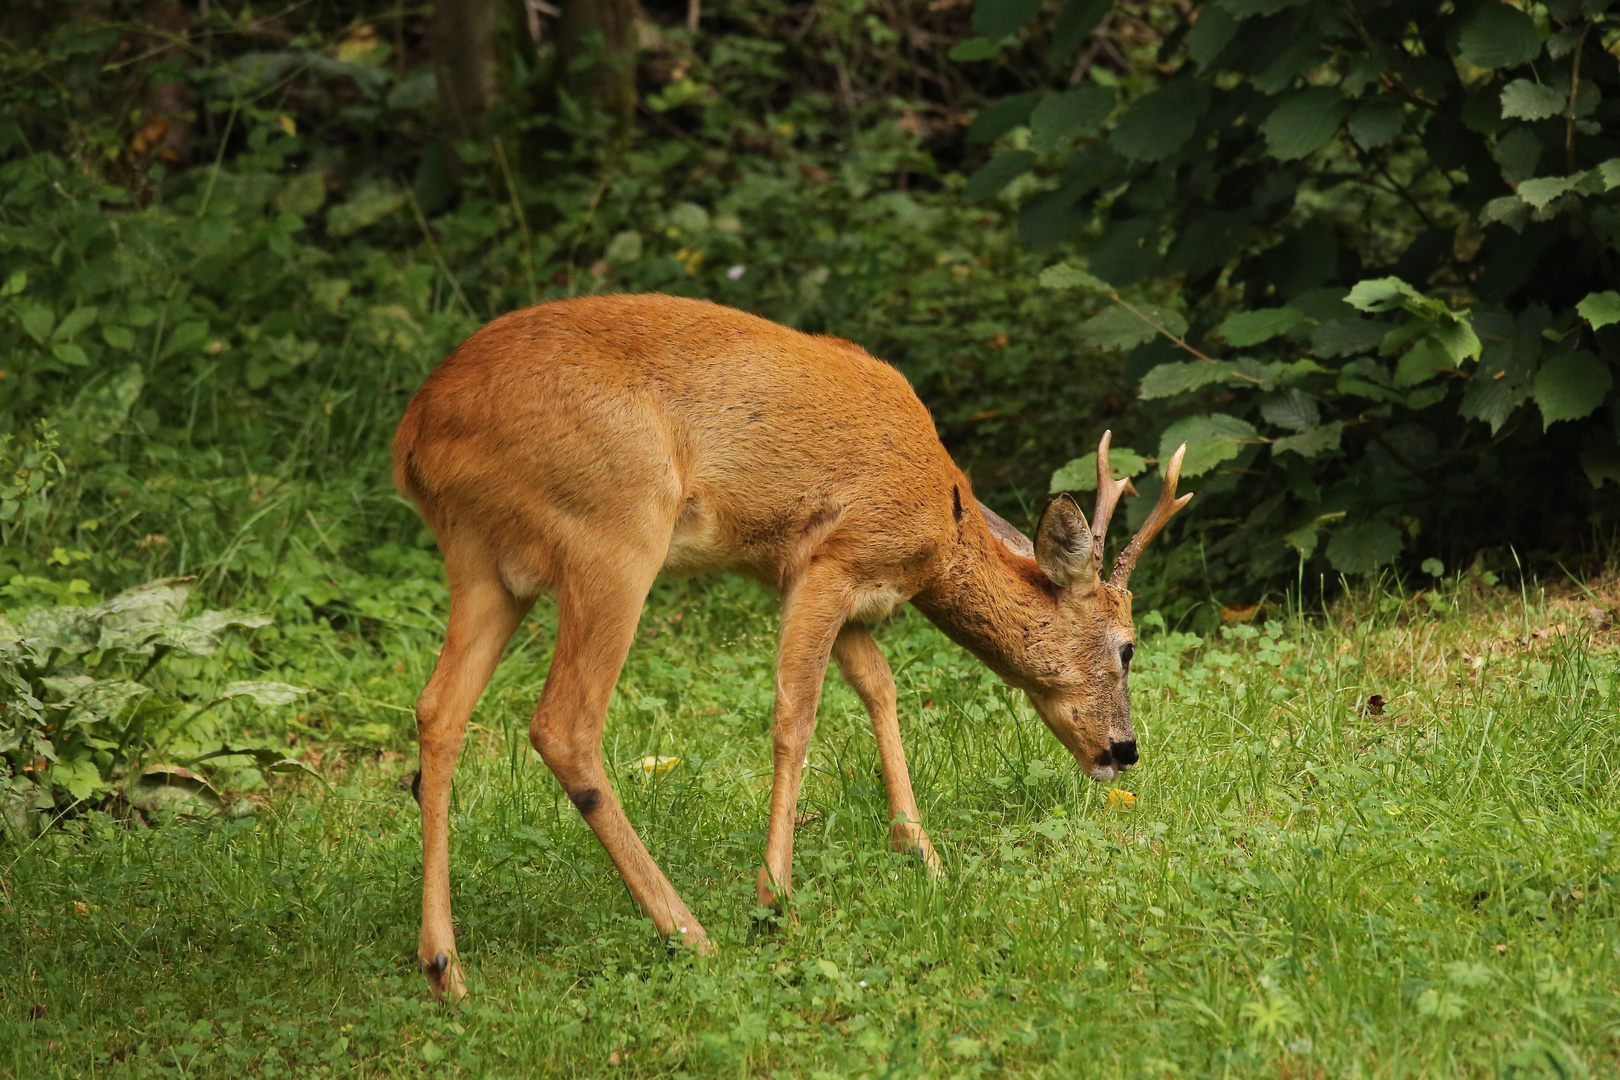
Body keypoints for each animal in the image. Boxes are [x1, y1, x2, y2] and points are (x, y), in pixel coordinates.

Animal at [392, 293, 1192, 997]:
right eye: (1127, 646)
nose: (1124, 751)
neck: (942, 520)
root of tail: (414, 433)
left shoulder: (816, 581)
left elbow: (879, 685)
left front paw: (921, 853)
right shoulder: (830, 557)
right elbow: (796, 713)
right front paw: (774, 899)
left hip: (485, 560)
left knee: (438, 710)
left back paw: (446, 969)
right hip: (613, 528)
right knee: (564, 723)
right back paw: (689, 932)